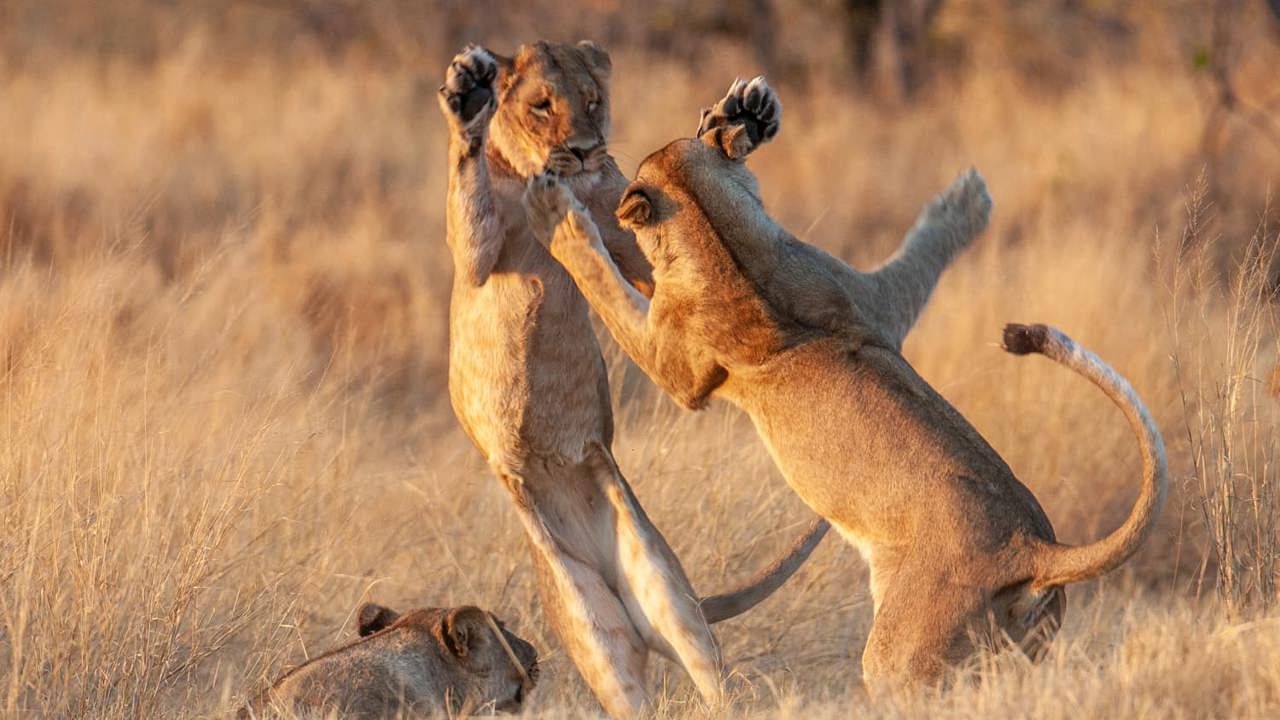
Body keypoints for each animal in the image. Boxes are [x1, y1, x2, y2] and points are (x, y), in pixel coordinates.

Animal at [522, 76, 1169, 693]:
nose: (720, 114)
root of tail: (1034, 550)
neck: (723, 235)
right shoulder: (871, 300)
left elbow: (607, 284)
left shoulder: (679, 372)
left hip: (898, 660)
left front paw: (556, 215)